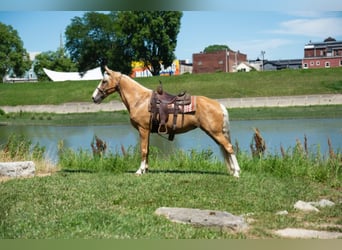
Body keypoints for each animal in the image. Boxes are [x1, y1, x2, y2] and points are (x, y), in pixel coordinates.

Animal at [91, 65, 240, 177]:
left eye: (104, 81)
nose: (94, 98)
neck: (140, 100)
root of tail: (219, 105)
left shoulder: (143, 129)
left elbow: (143, 150)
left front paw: (139, 171)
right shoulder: (147, 131)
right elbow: (147, 150)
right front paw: (146, 169)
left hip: (215, 133)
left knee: (229, 147)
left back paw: (237, 173)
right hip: (214, 133)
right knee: (226, 148)